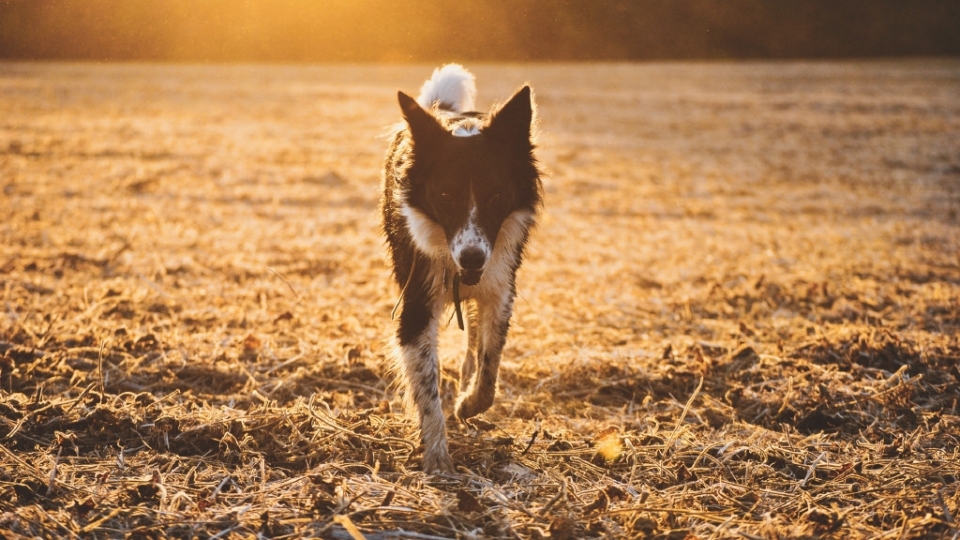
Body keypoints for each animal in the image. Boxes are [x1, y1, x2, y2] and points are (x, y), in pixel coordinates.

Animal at [380, 65, 544, 472]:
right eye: (445, 196)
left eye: (496, 195)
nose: (471, 258)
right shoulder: (416, 304)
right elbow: (427, 388)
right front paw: (439, 461)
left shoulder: (500, 289)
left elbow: (489, 363)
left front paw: (469, 402)